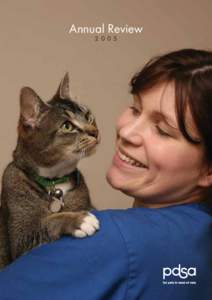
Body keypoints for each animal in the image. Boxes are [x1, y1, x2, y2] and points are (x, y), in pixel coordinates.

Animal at [0, 73, 100, 270]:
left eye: (88, 116)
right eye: (67, 126)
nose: (95, 132)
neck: (55, 182)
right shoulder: (21, 241)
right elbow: (50, 221)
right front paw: (80, 220)